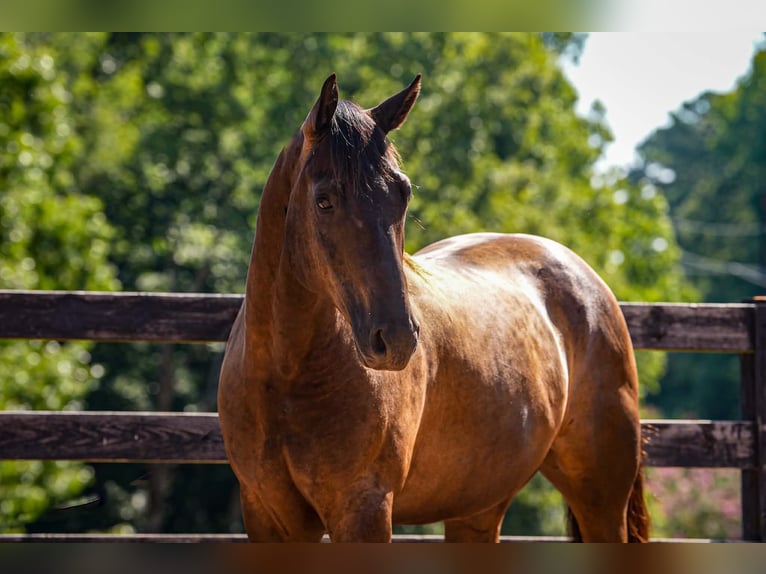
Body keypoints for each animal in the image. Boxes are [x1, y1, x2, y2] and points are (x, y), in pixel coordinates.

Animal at [217, 74, 649, 542]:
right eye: (324, 199)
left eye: (402, 194)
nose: (397, 339)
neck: (284, 377)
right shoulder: (267, 515)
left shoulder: (364, 509)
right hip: (478, 507)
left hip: (600, 501)